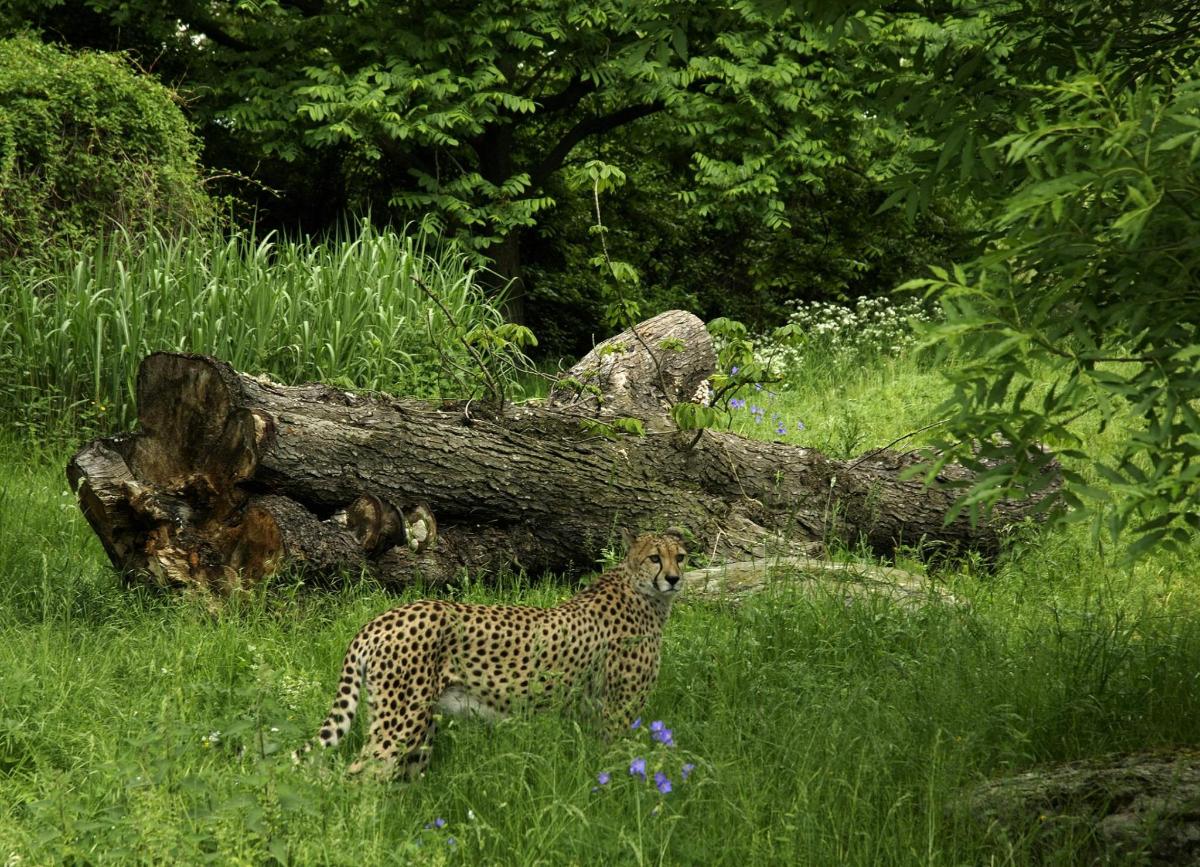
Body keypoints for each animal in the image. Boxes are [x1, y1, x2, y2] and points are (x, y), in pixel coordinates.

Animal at [296, 525, 691, 778]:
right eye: (655, 558)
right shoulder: (617, 711)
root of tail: (382, 617)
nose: (674, 578)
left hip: (420, 727)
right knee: (362, 775)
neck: (642, 592)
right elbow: (615, 766)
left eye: (682, 557)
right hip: (402, 721)